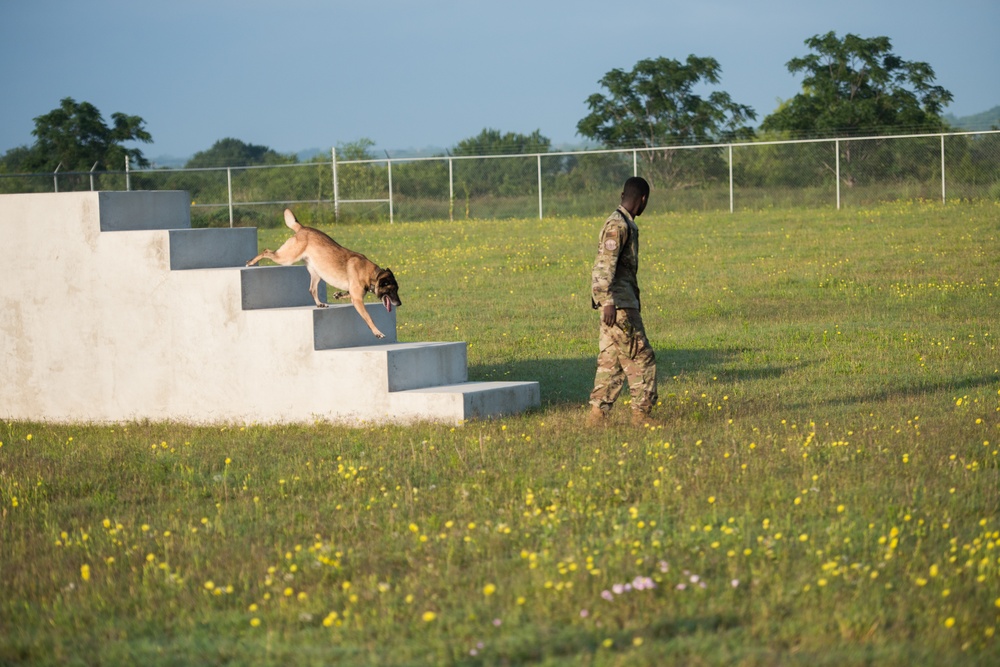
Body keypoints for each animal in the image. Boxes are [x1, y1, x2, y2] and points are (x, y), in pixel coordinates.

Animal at [247, 210, 402, 340]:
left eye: (397, 289)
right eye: (391, 290)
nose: (399, 304)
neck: (372, 274)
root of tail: (302, 228)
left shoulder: (354, 293)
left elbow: (346, 294)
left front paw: (338, 295)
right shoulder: (358, 300)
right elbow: (369, 317)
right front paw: (377, 332)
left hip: (316, 273)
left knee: (312, 289)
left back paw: (319, 303)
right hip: (287, 258)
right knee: (267, 251)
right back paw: (251, 262)